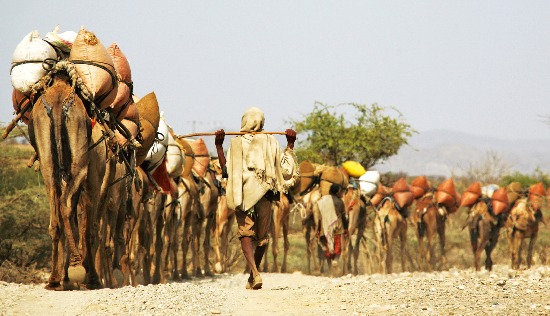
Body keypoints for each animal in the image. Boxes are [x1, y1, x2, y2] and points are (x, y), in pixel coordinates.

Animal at [27, 69, 110, 292]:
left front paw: (67, 277)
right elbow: (89, 227)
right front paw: (91, 278)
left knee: (57, 217)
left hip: (48, 162)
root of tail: (57, 104)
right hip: (80, 159)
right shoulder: (95, 178)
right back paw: (78, 269)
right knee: (68, 209)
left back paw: (55, 279)